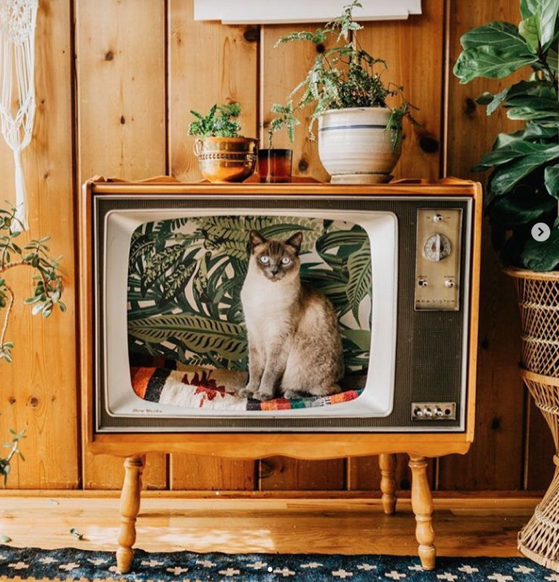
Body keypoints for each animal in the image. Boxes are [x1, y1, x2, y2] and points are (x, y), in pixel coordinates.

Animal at [238, 230, 344, 404]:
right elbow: (255, 368)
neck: (264, 294)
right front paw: (250, 391)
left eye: (285, 261)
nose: (274, 271)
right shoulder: (254, 335)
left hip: (302, 369)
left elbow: (269, 372)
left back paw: (291, 393)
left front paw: (263, 394)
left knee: (329, 390)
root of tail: (341, 377)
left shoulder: (279, 337)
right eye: (265, 259)